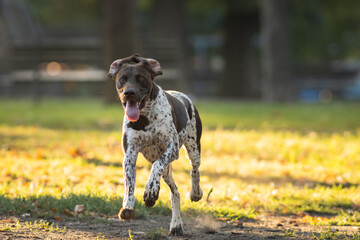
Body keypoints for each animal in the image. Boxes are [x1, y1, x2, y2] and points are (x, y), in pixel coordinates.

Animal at [107, 53, 202, 235]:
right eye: (122, 79)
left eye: (141, 78)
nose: (129, 93)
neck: (145, 118)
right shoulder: (129, 156)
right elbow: (129, 183)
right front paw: (127, 206)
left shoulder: (171, 149)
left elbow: (156, 166)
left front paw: (150, 191)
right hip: (166, 172)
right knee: (175, 193)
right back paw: (176, 224)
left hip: (193, 150)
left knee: (194, 170)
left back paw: (195, 193)